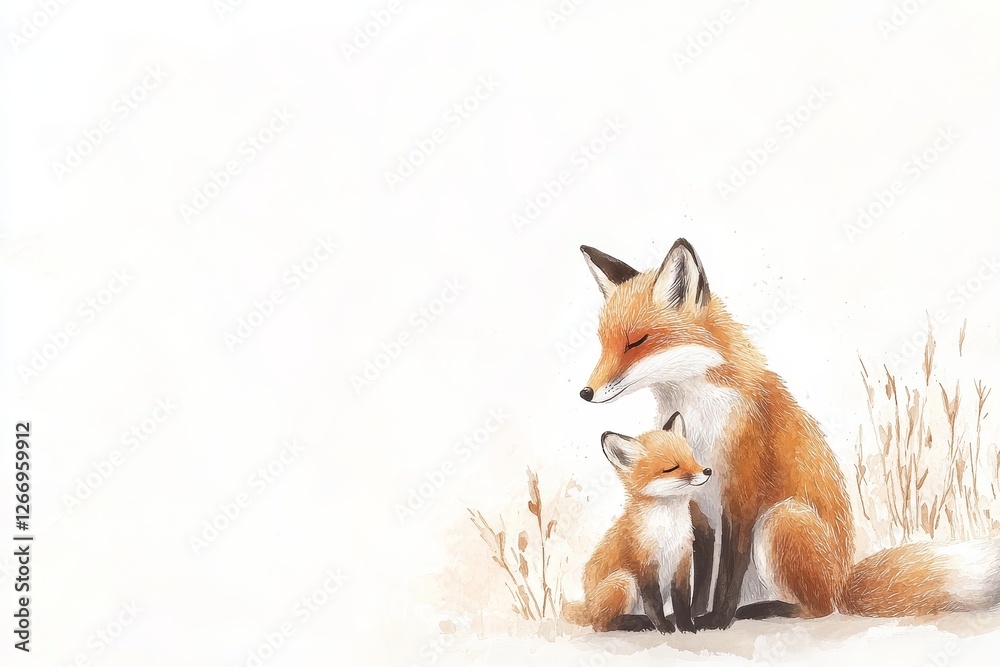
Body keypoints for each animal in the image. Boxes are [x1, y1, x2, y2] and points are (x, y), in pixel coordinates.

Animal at [563, 413, 712, 633]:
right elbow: (654, 604)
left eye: (692, 458)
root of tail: (588, 606)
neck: (667, 529)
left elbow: (682, 601)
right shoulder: (643, 564)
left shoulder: (682, 560)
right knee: (601, 624)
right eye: (672, 467)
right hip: (623, 581)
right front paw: (663, 627)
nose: (707, 471)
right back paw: (637, 622)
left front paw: (686, 627)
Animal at [577, 238, 1000, 629]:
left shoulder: (742, 495)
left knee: (819, 609)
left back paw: (760, 610)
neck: (701, 419)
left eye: (636, 341)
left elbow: (728, 570)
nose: (586, 393)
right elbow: (701, 572)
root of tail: (844, 582)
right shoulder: (698, 505)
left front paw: (717, 619)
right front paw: (693, 618)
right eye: (602, 344)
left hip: (782, 519)